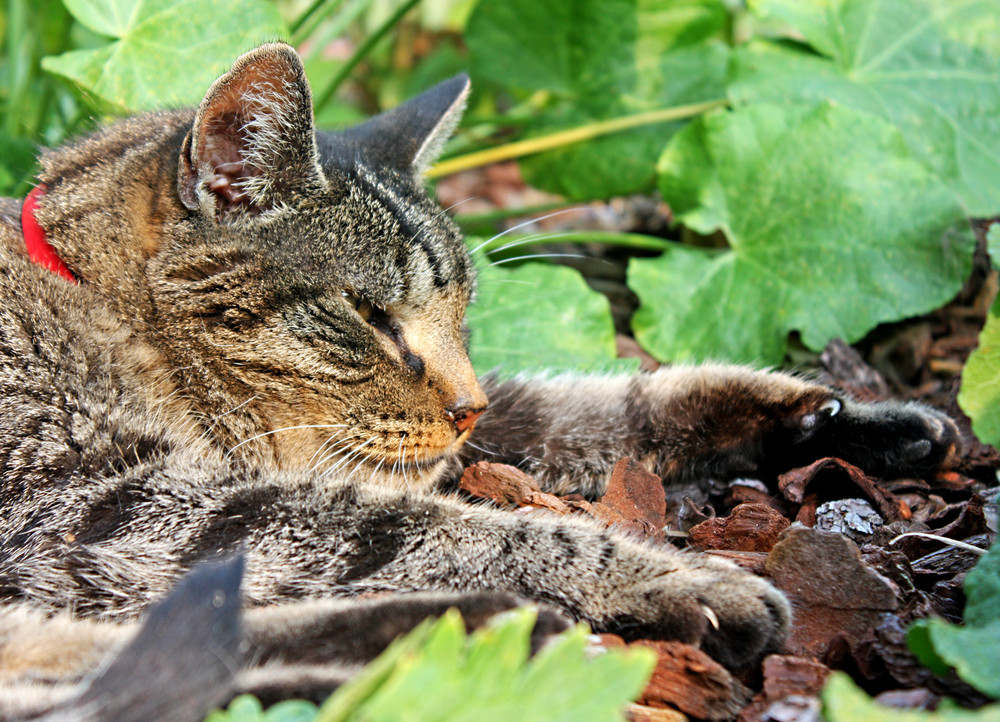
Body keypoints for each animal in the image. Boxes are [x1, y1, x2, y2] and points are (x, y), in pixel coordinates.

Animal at [0, 45, 960, 720]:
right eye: (371, 315)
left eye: (461, 314)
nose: (466, 410)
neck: (96, 302)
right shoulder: (98, 503)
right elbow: (447, 526)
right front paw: (676, 581)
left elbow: (587, 406)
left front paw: (829, 416)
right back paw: (474, 633)